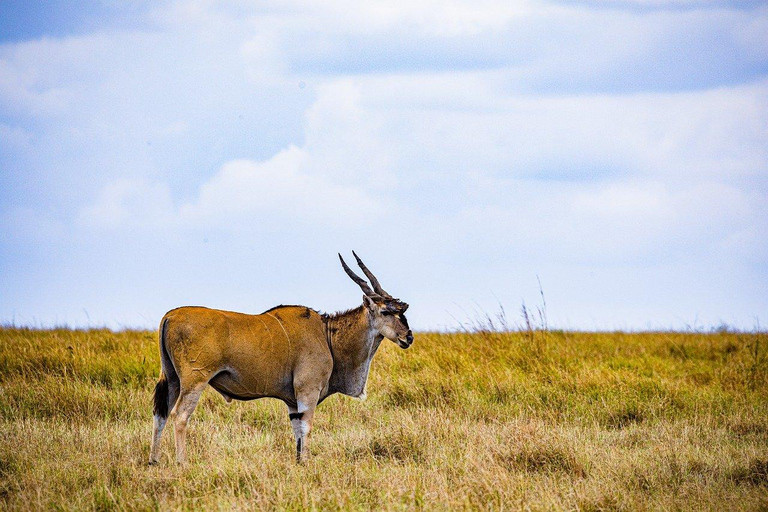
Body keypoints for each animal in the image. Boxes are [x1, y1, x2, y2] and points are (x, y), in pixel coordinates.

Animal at [150, 252, 414, 464]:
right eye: (386, 311)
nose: (408, 337)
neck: (327, 334)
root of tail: (170, 316)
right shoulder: (307, 392)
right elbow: (307, 428)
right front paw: (306, 463)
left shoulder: (292, 402)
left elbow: (297, 430)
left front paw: (299, 462)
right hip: (194, 382)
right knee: (179, 416)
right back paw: (182, 463)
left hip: (172, 380)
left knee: (160, 415)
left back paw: (154, 461)